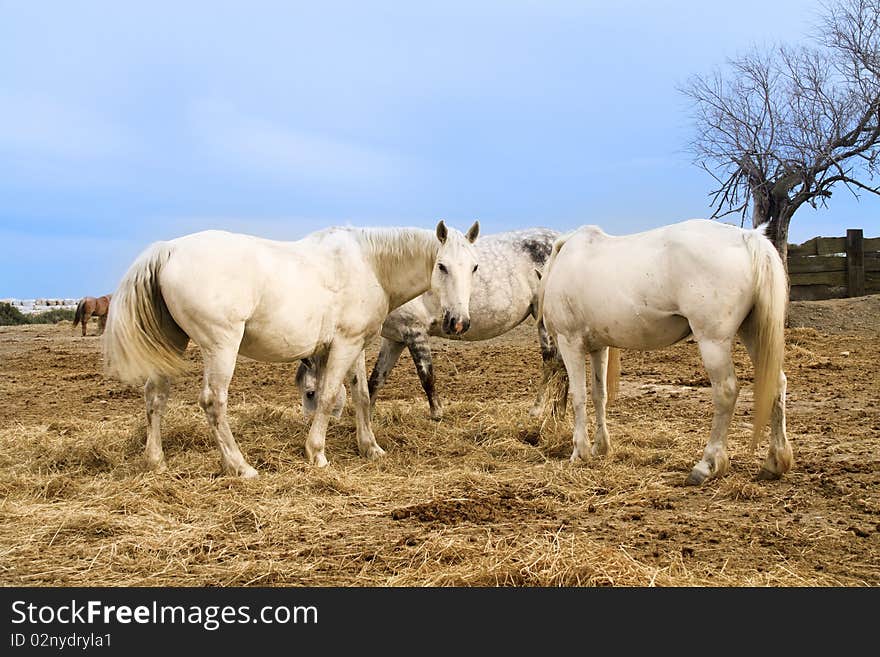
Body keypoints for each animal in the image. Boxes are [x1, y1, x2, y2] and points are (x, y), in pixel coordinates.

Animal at [103, 220, 482, 476]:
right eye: (442, 266)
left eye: (475, 266)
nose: (458, 322)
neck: (370, 264)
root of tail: (168, 249)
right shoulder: (343, 345)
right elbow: (329, 397)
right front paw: (316, 453)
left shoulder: (356, 345)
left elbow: (361, 395)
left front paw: (371, 448)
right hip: (221, 346)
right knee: (213, 402)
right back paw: (240, 466)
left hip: (171, 345)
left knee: (155, 397)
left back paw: (156, 461)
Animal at [296, 226, 576, 420]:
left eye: (310, 392)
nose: (309, 421)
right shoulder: (395, 339)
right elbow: (377, 379)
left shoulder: (415, 333)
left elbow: (426, 376)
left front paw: (436, 414)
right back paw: (559, 411)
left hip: (543, 322)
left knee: (551, 363)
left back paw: (538, 410)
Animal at [540, 218, 796, 484]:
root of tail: (748, 237)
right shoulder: (599, 348)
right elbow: (599, 396)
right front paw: (600, 448)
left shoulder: (571, 343)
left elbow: (578, 396)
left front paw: (579, 452)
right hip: (753, 332)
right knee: (776, 384)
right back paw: (774, 462)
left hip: (713, 341)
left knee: (726, 391)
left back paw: (707, 465)